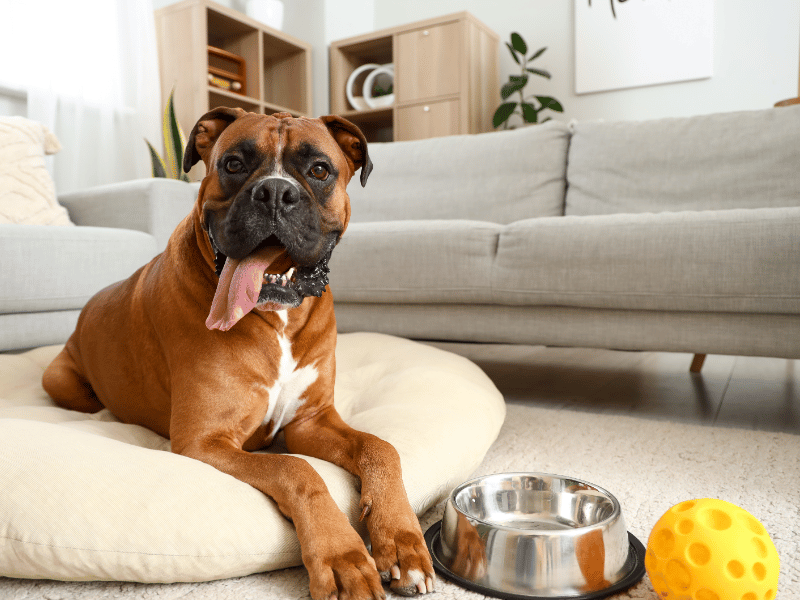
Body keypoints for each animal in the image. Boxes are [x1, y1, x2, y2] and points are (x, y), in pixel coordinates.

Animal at [40, 109, 434, 600]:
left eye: (319, 170)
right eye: (233, 164)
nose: (276, 192)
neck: (277, 317)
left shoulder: (311, 422)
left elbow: (380, 447)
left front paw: (402, 541)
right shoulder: (206, 441)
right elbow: (296, 470)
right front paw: (342, 558)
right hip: (60, 380)